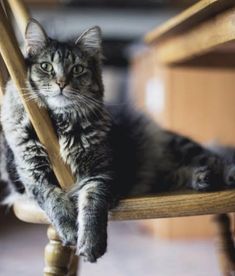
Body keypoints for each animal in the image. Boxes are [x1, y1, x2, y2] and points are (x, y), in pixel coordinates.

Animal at [0, 18, 235, 262]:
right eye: (46, 66)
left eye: (77, 69)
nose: (61, 83)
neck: (59, 123)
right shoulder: (33, 174)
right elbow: (53, 200)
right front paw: (71, 232)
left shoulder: (101, 173)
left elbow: (93, 206)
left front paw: (91, 243)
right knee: (174, 174)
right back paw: (201, 178)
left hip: (179, 146)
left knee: (213, 158)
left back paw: (219, 174)